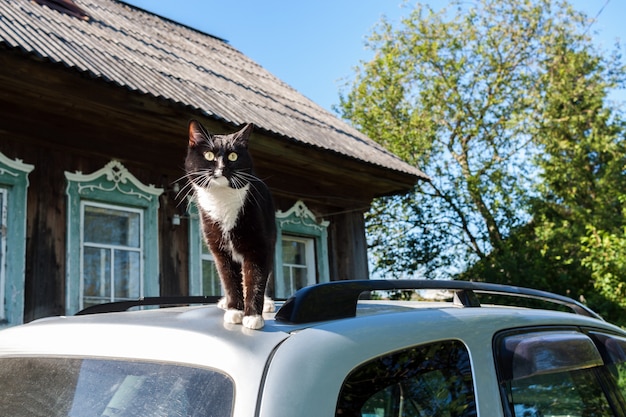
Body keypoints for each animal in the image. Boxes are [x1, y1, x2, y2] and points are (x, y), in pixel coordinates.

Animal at [184, 119, 274, 328]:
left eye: (233, 156)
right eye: (209, 155)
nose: (223, 168)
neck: (222, 199)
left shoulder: (259, 245)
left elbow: (256, 278)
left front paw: (252, 316)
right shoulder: (219, 248)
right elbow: (229, 278)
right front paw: (234, 310)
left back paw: (267, 304)